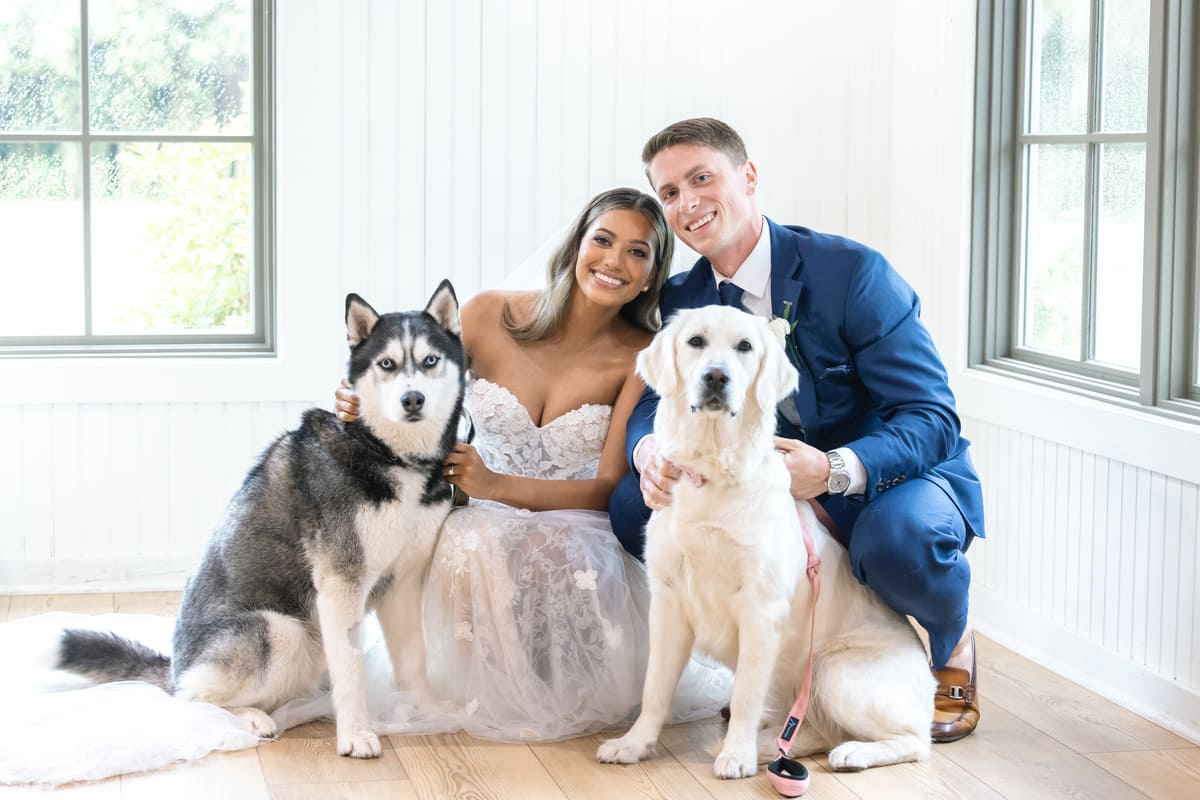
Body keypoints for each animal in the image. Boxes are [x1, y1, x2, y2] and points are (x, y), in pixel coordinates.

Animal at [58, 284, 465, 762]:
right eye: (387, 364)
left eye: (430, 361)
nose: (412, 399)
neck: (387, 453)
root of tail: (175, 668)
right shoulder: (340, 585)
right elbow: (352, 672)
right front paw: (355, 735)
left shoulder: (403, 581)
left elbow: (414, 659)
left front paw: (428, 709)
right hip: (281, 630)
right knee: (189, 700)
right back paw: (250, 718)